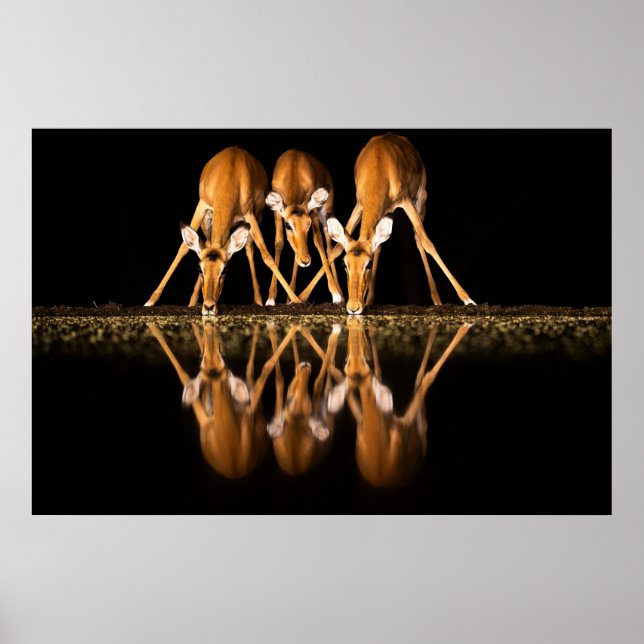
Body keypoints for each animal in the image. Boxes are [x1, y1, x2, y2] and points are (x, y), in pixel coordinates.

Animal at [144, 146, 301, 316]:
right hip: (208, 221)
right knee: (206, 242)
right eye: (200, 269)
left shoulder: (249, 216)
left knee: (249, 248)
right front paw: (150, 300)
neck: (230, 176)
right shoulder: (202, 206)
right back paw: (192, 301)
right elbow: (183, 248)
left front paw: (295, 299)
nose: (209, 306)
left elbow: (266, 255)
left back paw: (258, 300)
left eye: (224, 270)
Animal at [148, 320, 297, 480]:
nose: (210, 333)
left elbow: (267, 366)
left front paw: (293, 326)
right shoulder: (205, 419)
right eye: (201, 359)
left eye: (223, 359)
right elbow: (183, 374)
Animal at [265, 150, 343, 305]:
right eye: (288, 225)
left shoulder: (312, 211)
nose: (306, 261)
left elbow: (318, 241)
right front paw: (271, 298)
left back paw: (340, 294)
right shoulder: (277, 212)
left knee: (329, 245)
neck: (293, 167)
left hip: (325, 212)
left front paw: (335, 294)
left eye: (308, 225)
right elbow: (279, 243)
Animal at [301, 133, 476, 314]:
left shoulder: (406, 201)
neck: (380, 166)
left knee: (418, 239)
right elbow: (336, 249)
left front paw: (467, 299)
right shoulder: (360, 205)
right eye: (345, 264)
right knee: (380, 244)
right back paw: (370, 300)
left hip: (420, 200)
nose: (353, 307)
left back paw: (437, 300)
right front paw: (302, 297)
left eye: (368, 264)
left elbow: (428, 244)